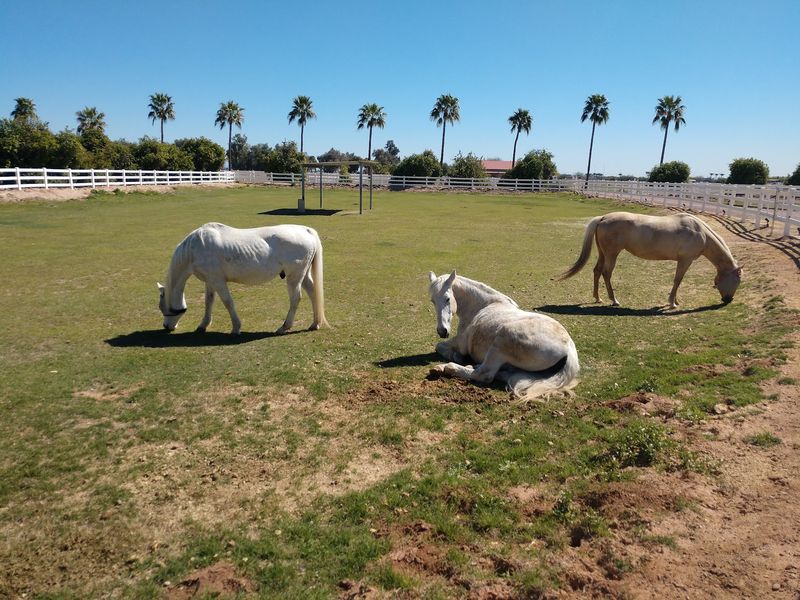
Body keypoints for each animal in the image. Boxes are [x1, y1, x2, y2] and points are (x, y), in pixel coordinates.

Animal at [158, 223, 328, 334]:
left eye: (163, 308)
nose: (166, 326)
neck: (195, 248)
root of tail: (305, 230)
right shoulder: (210, 281)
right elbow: (209, 302)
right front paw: (203, 325)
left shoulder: (218, 281)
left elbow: (228, 302)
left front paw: (236, 327)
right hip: (303, 275)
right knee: (313, 293)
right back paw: (315, 323)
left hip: (294, 277)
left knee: (295, 299)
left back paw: (284, 327)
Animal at [427, 271, 580, 400]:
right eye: (433, 301)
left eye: (447, 299)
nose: (442, 331)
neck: (482, 306)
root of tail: (569, 349)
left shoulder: (460, 343)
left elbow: (439, 346)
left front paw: (456, 357)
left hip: (500, 343)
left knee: (484, 374)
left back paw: (448, 367)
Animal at [558, 211, 742, 309]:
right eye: (737, 281)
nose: (728, 300)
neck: (700, 231)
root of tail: (603, 218)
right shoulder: (685, 260)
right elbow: (678, 280)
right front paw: (672, 303)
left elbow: (678, 281)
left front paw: (675, 300)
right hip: (612, 254)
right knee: (606, 273)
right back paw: (614, 300)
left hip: (603, 253)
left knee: (597, 271)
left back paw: (597, 298)